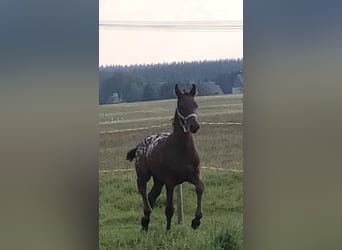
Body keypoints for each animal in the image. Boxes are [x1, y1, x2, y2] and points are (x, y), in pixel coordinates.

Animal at [127, 83, 204, 230]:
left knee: (151, 196)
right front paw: (168, 231)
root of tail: (140, 145)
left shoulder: (193, 175)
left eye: (195, 105)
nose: (194, 126)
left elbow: (200, 187)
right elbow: (169, 209)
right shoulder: (170, 182)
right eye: (181, 106)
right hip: (144, 175)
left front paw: (196, 221)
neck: (182, 151)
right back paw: (146, 216)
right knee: (143, 190)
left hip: (158, 180)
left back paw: (145, 223)